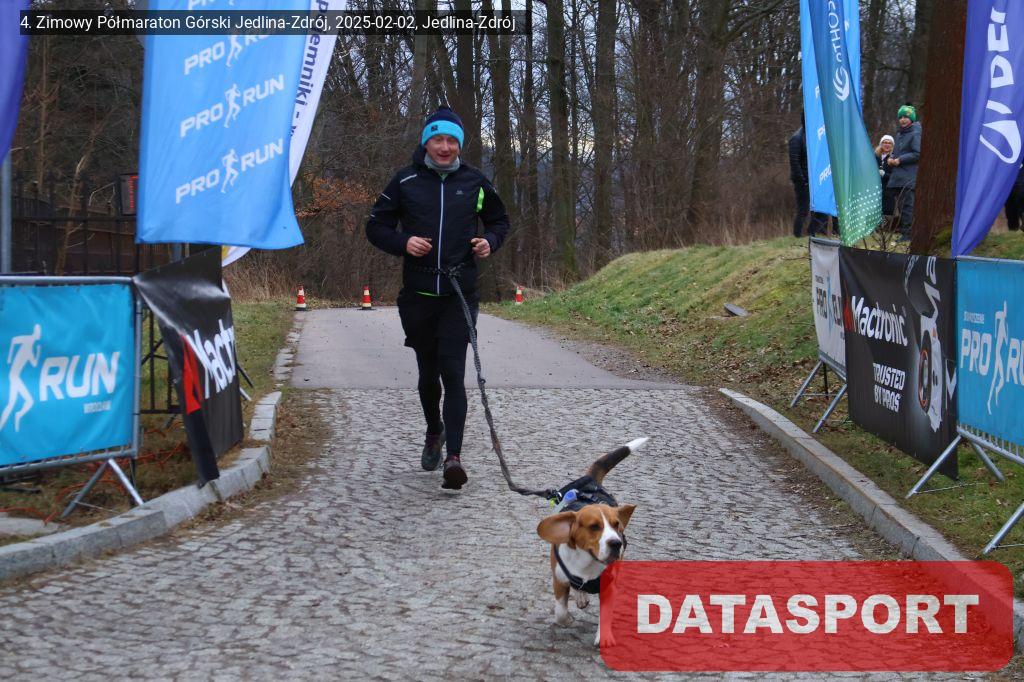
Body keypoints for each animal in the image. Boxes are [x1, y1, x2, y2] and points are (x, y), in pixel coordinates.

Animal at [536, 437, 647, 646]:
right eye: (594, 526)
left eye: (617, 525)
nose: (616, 543)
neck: (588, 561)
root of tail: (591, 482)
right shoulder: (559, 580)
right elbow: (560, 612)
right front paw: (567, 620)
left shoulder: (609, 588)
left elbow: (606, 614)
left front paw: (604, 637)